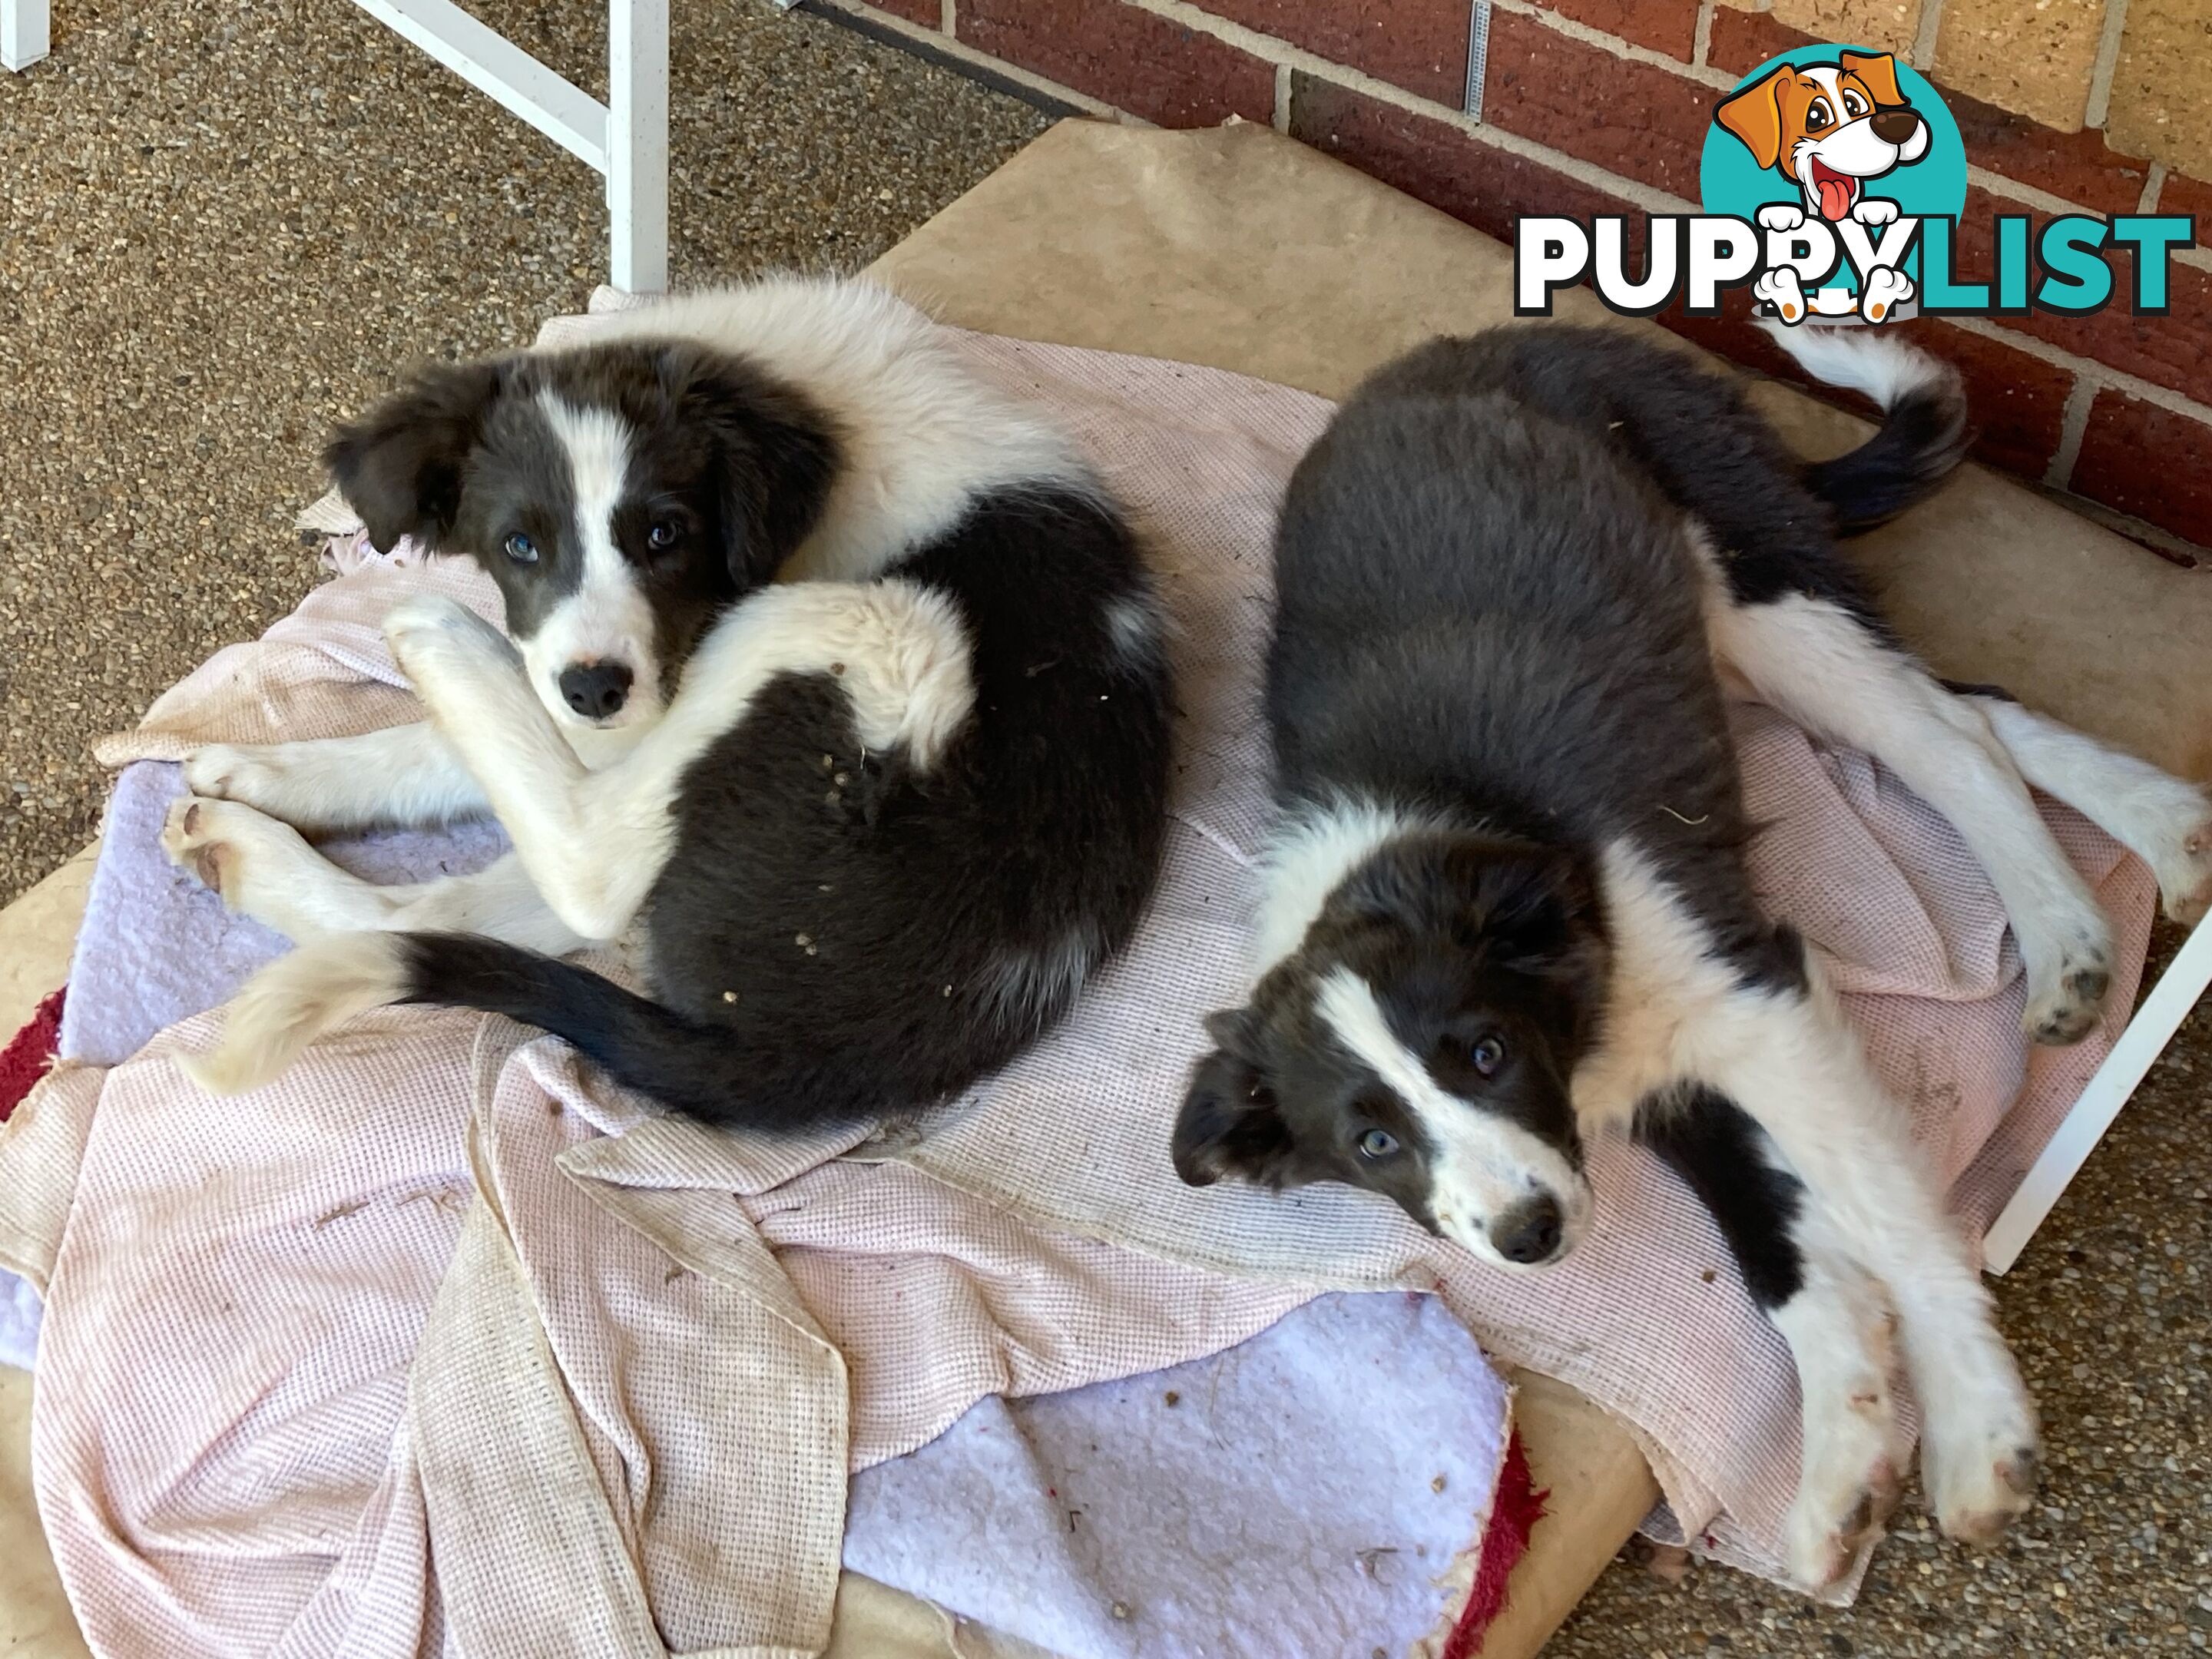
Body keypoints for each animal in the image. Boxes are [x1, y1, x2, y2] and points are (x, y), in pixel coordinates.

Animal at [170, 285, 1177, 1141]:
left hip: (876, 633)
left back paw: (436, 638)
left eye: (666, 534)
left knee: (587, 865)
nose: (594, 687)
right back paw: (238, 846)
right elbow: (449, 746)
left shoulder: (667, 671)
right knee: (458, 905)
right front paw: (269, 770)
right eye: (519, 545)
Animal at [1177, 325, 2212, 1601]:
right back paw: (2156, 840)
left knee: (1957, 736)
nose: (1529, 1237)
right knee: (1979, 706)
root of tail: (1523, 335)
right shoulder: (1659, 1067)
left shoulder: (1752, 993)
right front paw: (1846, 1456)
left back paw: (2079, 916)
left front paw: (1975, 1432)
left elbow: (1893, 1219)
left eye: (1485, 1053)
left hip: (1755, 578)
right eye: (1371, 1144)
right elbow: (1784, 1245)